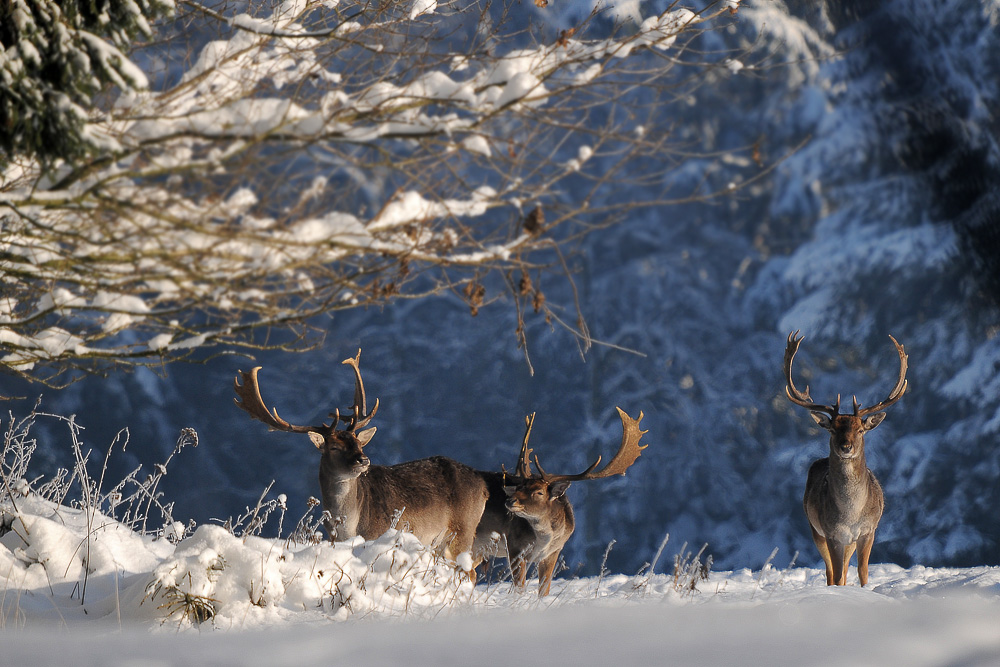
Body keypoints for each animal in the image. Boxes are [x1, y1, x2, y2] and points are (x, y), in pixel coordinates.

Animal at [231, 350, 488, 568]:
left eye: (358, 442)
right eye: (334, 447)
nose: (363, 460)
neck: (350, 528)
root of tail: (483, 486)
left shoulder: (381, 535)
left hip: (462, 531)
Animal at [474, 410, 648, 596]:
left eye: (539, 492)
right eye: (519, 487)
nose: (510, 500)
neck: (543, 540)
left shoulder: (553, 552)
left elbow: (544, 590)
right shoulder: (514, 547)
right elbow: (519, 588)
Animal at [784, 332, 912, 588]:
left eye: (860, 430)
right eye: (833, 429)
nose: (846, 447)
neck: (851, 514)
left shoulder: (868, 530)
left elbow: (863, 571)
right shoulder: (832, 533)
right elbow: (835, 574)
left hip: (849, 541)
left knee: (842, 570)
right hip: (815, 530)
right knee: (832, 572)